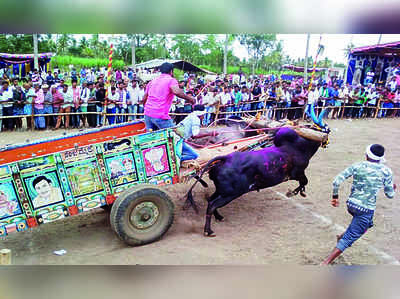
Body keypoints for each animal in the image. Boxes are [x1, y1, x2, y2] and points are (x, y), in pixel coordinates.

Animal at [186, 105, 330, 237]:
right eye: (326, 129)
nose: (326, 140)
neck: (300, 146)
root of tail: (225, 158)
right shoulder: (298, 173)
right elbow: (304, 182)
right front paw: (294, 192)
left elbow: (304, 183)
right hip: (231, 194)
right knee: (212, 205)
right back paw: (208, 230)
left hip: (223, 191)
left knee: (210, 200)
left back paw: (219, 217)